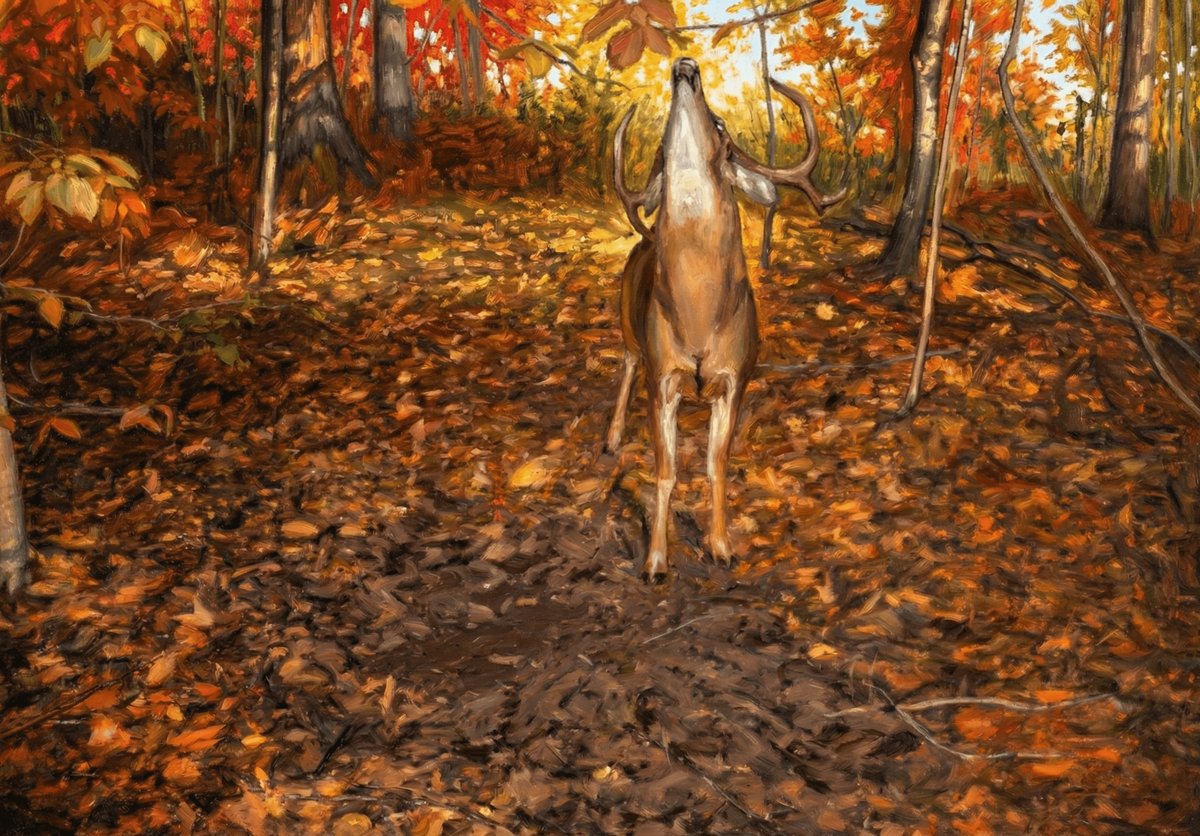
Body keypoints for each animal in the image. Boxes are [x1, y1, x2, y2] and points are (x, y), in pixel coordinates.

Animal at [606, 57, 845, 580]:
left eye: (720, 128)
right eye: (661, 141)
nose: (685, 65)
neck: (698, 319)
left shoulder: (738, 376)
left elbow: (716, 464)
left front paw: (721, 545)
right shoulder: (663, 376)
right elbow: (666, 470)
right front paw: (656, 560)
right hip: (628, 327)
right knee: (626, 363)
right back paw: (611, 438)